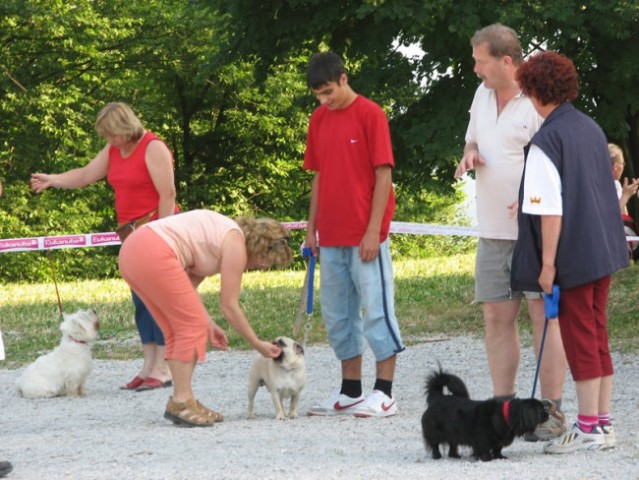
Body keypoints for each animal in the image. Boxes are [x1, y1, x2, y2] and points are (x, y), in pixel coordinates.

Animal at [420, 368, 552, 462]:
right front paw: (486, 458)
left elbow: (497, 449)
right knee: (435, 445)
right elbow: (484, 450)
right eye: (541, 410)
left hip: (453, 432)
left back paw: (455, 455)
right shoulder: (482, 440)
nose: (548, 414)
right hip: (434, 432)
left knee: (453, 445)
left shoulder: (498, 441)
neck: (504, 416)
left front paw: (499, 457)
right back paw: (437, 456)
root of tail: (436, 397)